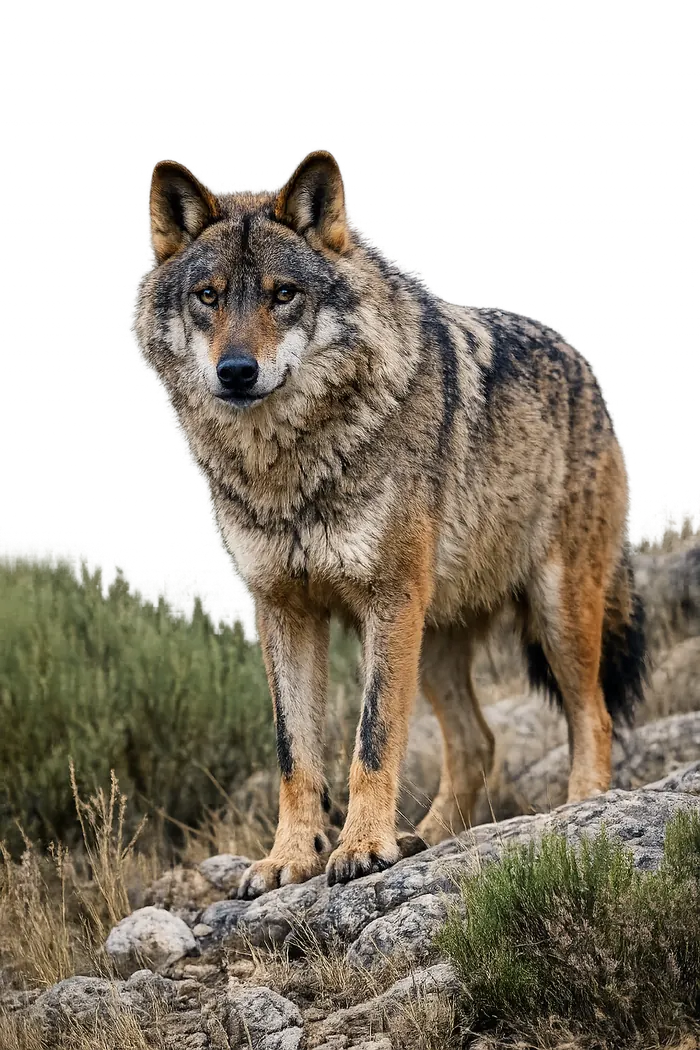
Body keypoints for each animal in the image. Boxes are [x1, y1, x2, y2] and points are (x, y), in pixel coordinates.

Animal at [130, 148, 647, 900]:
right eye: (209, 296)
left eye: (283, 295)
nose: (236, 371)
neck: (290, 470)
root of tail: (587, 372)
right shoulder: (284, 611)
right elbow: (296, 754)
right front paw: (290, 857)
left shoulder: (389, 597)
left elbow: (372, 739)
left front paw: (362, 848)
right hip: (432, 639)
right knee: (477, 742)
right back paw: (426, 838)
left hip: (553, 613)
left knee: (594, 715)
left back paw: (579, 808)